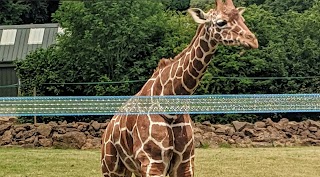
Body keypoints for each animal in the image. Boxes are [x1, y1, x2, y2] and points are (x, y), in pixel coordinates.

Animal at [101, 0, 258, 176]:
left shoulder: (185, 162)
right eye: (221, 22)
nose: (253, 40)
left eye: (242, 19)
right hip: (111, 167)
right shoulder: (152, 161)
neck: (170, 105)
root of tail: (107, 129)